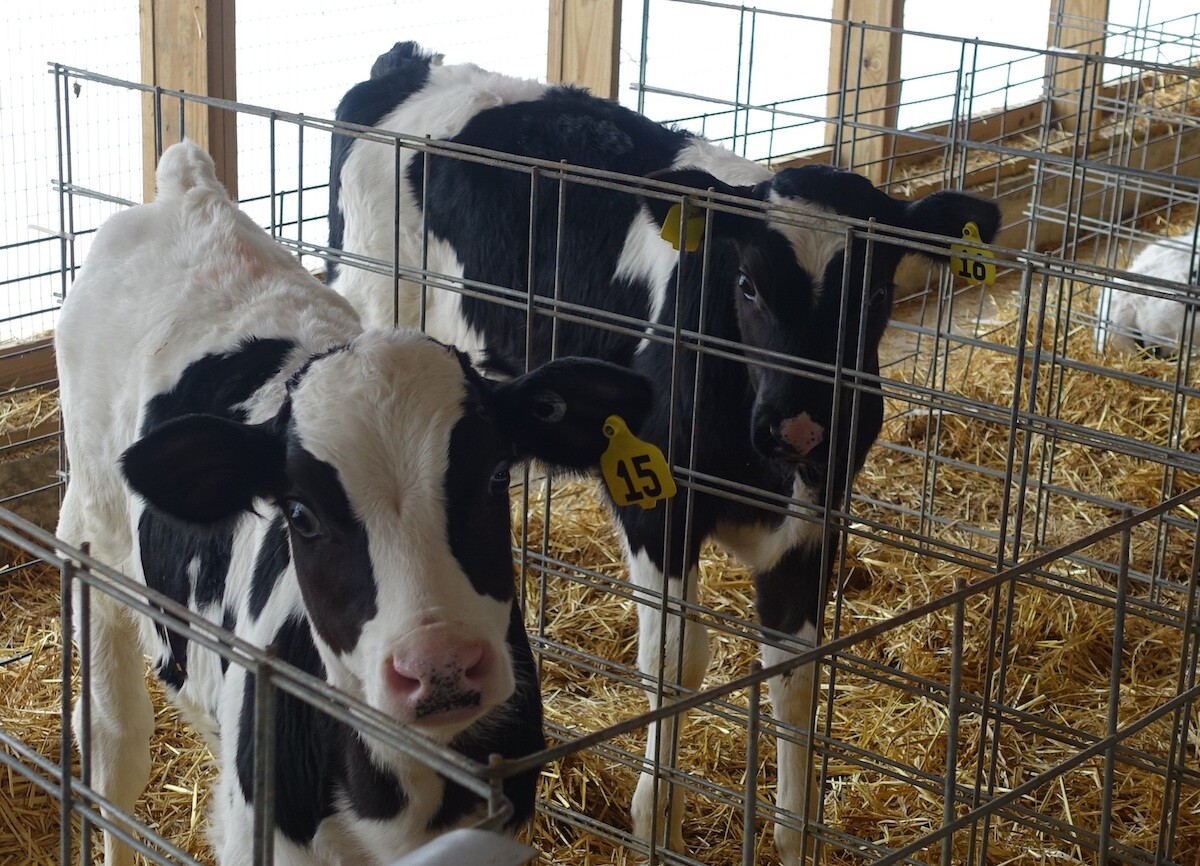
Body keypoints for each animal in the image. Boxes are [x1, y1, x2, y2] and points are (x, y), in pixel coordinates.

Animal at [55, 139, 651, 866]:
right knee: (113, 745)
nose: (439, 667)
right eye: (300, 515)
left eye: (494, 478)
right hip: (94, 535)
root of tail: (188, 189)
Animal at [327, 42, 1002, 864]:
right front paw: (658, 823)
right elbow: (677, 662)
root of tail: (407, 64)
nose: (801, 428)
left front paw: (794, 833)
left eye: (873, 295)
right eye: (747, 285)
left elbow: (796, 676)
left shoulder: (815, 522)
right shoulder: (655, 506)